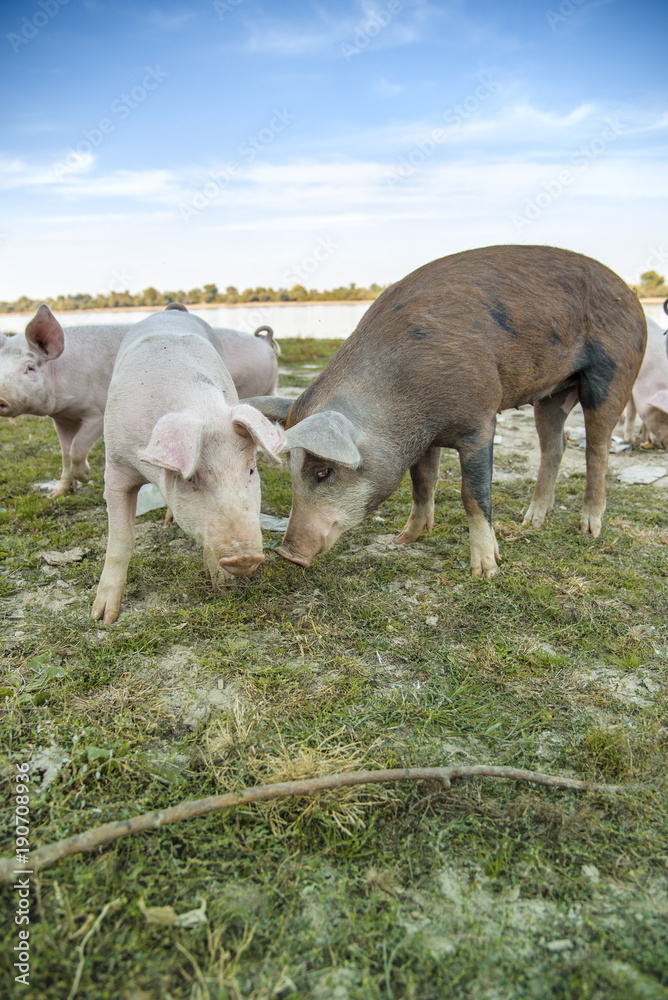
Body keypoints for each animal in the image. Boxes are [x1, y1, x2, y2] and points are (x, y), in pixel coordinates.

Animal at [0, 302, 279, 497]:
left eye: (29, 367)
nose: (2, 399)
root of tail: (264, 342)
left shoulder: (96, 413)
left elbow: (78, 448)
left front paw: (88, 477)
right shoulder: (62, 418)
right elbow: (65, 454)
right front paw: (56, 494)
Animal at [91, 307, 285, 624]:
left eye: (251, 470)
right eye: (191, 479)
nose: (246, 556)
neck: (201, 407)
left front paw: (224, 587)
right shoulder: (116, 467)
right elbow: (121, 541)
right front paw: (103, 617)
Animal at [244, 245, 646, 578]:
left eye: (324, 471)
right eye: (292, 471)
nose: (286, 553)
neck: (406, 408)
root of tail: (628, 290)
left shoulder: (480, 423)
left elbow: (473, 493)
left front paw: (486, 571)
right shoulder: (424, 440)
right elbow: (422, 483)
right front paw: (405, 539)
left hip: (613, 375)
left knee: (597, 450)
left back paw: (589, 529)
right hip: (552, 394)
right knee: (555, 446)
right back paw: (532, 522)